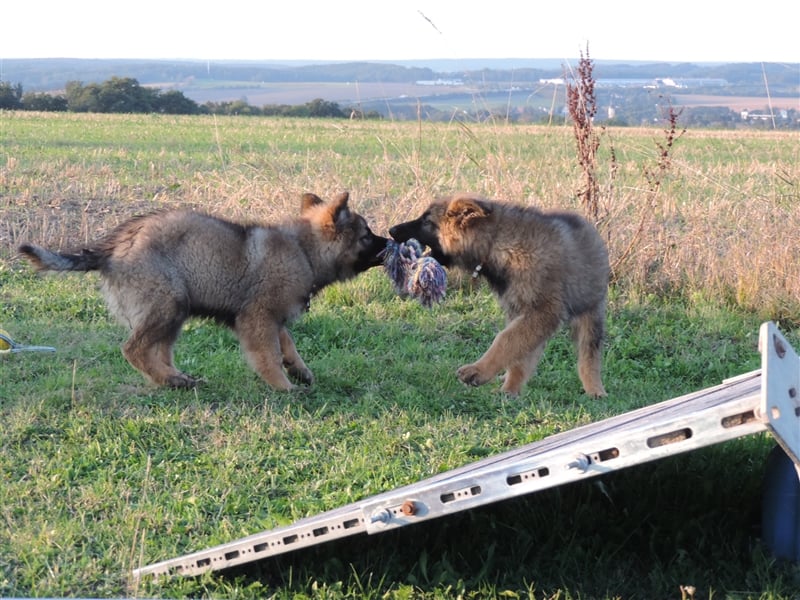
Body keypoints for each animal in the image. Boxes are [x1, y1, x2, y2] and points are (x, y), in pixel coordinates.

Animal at [390, 193, 608, 398]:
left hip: (590, 313)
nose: (391, 230)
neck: (496, 244)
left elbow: (505, 340)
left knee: (589, 356)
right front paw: (509, 389)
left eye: (426, 221)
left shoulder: (542, 312)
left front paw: (478, 372)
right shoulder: (519, 313)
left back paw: (595, 390)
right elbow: (517, 351)